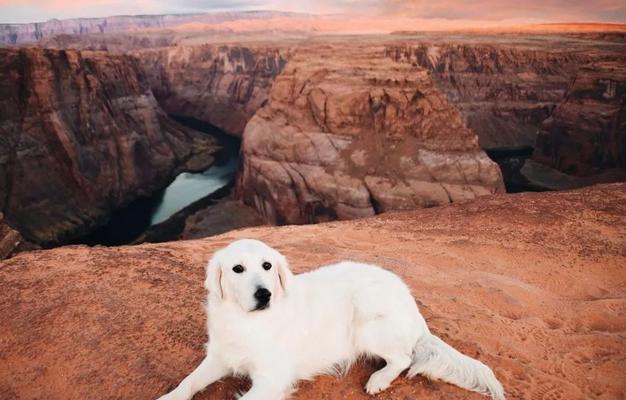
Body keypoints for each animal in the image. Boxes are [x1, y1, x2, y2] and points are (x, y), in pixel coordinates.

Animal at [156, 239, 502, 398]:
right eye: (237, 269)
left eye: (267, 265)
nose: (264, 294)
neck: (247, 322)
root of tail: (412, 304)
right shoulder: (220, 357)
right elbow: (188, 382)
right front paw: (170, 396)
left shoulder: (272, 379)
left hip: (365, 318)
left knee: (403, 358)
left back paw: (379, 380)